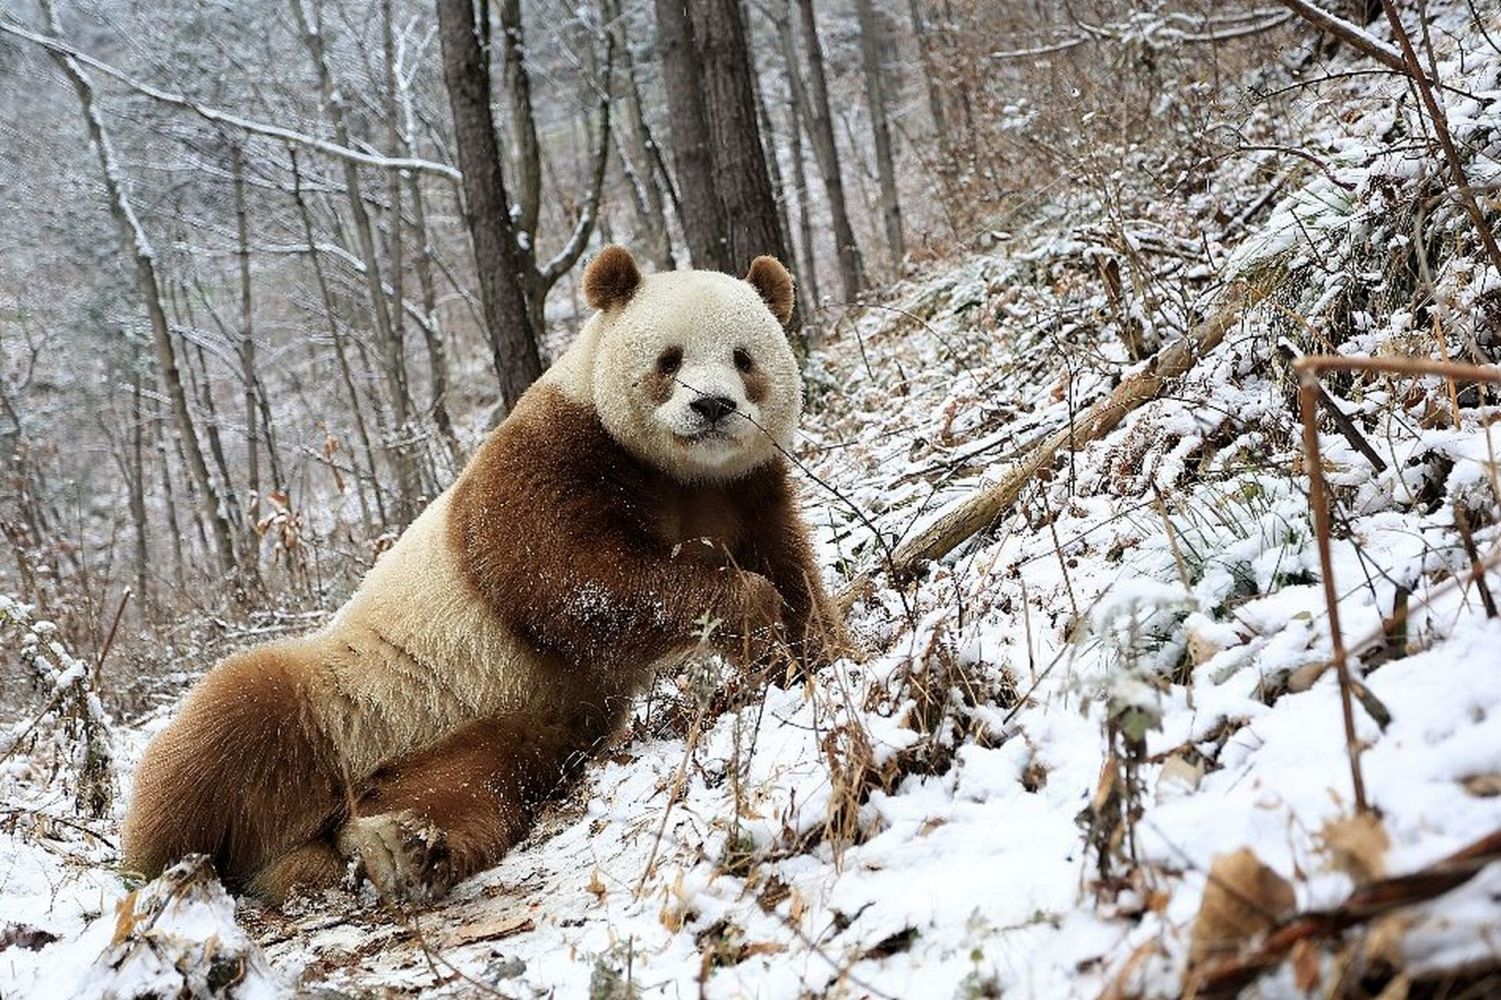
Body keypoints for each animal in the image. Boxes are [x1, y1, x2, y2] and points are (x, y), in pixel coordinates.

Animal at [120, 246, 843, 905]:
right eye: (669, 360)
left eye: (744, 359)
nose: (714, 407)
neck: (679, 471)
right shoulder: (552, 458)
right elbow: (569, 586)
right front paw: (749, 613)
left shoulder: (743, 486)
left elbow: (789, 568)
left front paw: (811, 655)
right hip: (351, 696)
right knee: (231, 726)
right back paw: (157, 870)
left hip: (496, 725)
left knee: (469, 789)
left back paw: (394, 850)